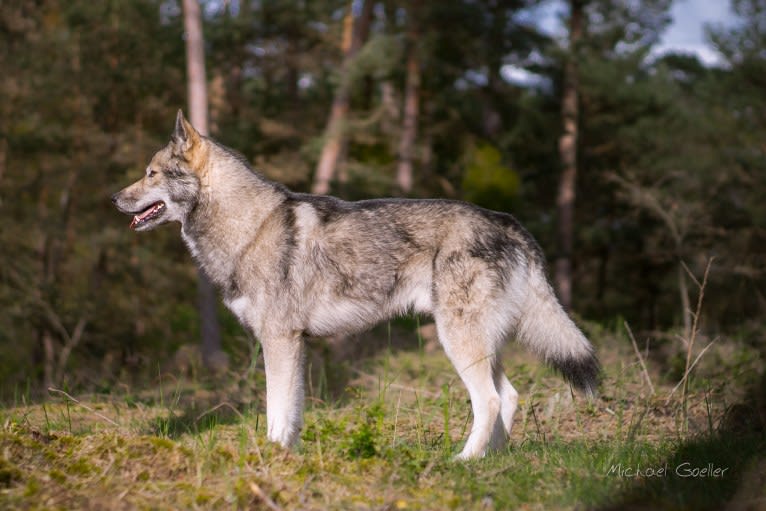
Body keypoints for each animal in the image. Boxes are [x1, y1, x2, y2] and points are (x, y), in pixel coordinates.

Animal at [111, 111, 600, 460]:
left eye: (151, 173)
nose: (113, 198)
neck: (249, 227)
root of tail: (507, 221)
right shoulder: (295, 344)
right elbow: (291, 413)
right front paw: (286, 459)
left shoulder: (279, 341)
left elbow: (274, 409)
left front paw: (268, 458)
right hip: (480, 343)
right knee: (510, 397)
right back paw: (490, 462)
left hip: (458, 342)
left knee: (491, 402)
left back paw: (462, 462)